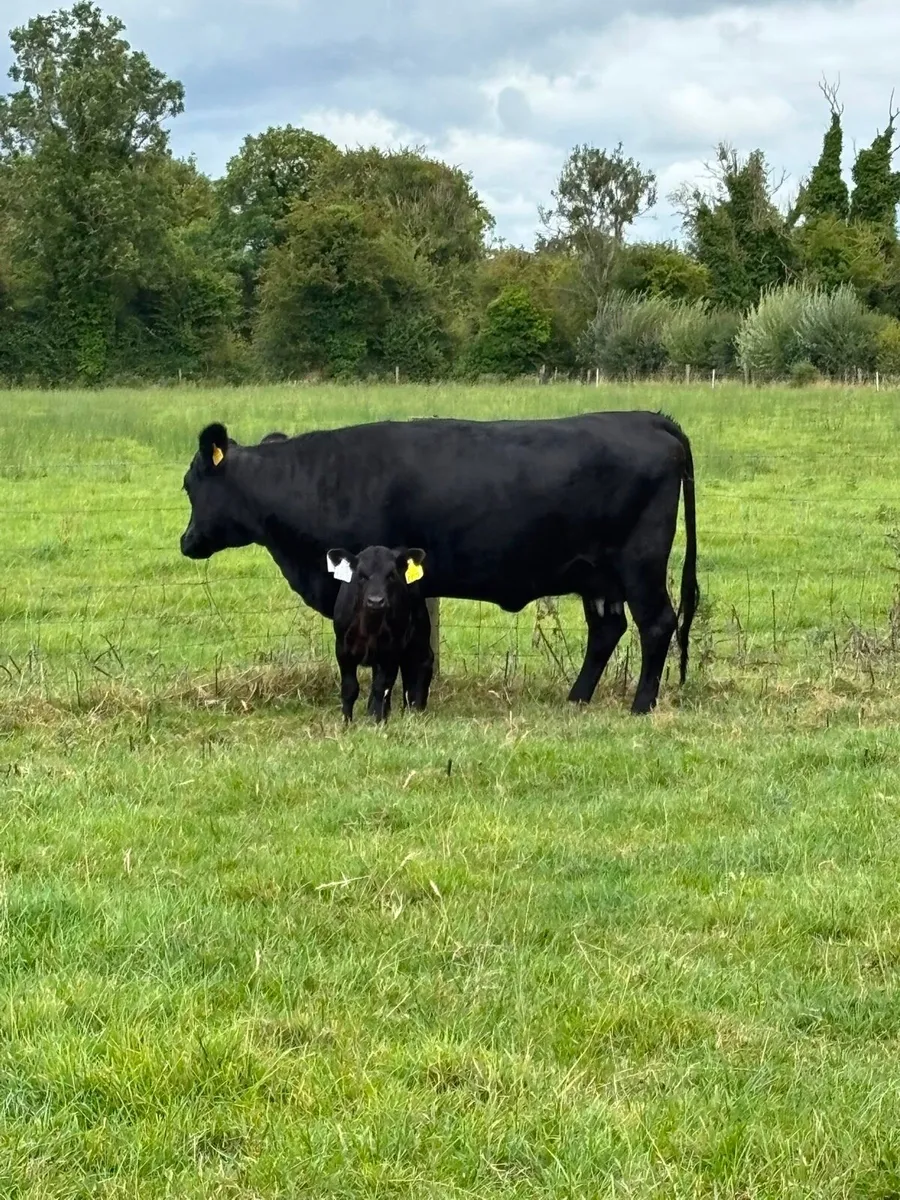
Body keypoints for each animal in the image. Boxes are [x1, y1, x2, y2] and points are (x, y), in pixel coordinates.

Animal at [327, 544, 433, 722]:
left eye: (391, 575)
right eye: (361, 575)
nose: (375, 601)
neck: (369, 626)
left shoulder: (389, 649)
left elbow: (380, 687)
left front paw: (377, 721)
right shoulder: (342, 648)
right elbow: (349, 688)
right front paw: (347, 722)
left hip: (419, 631)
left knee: (422, 661)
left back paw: (414, 708)